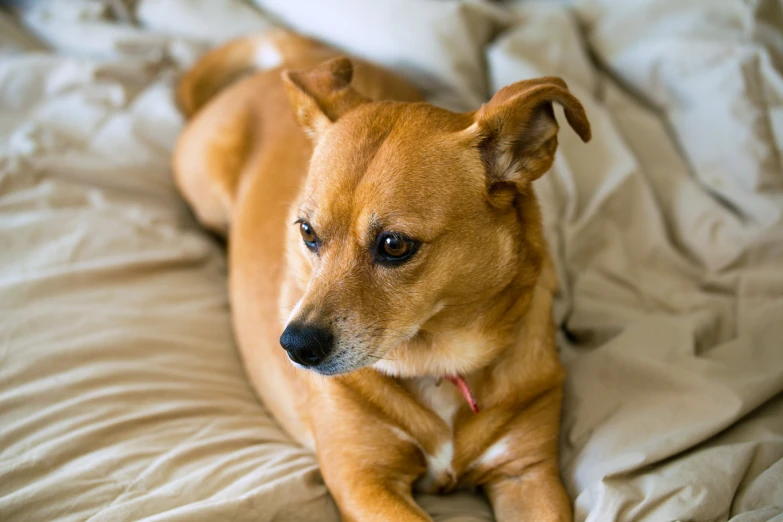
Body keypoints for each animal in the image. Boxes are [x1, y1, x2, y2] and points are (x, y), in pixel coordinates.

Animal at [172, 29, 588, 520]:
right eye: (307, 232)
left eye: (394, 245)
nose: (294, 346)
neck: (439, 364)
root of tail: (295, 57)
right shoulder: (364, 479)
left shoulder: (528, 473)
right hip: (203, 191)